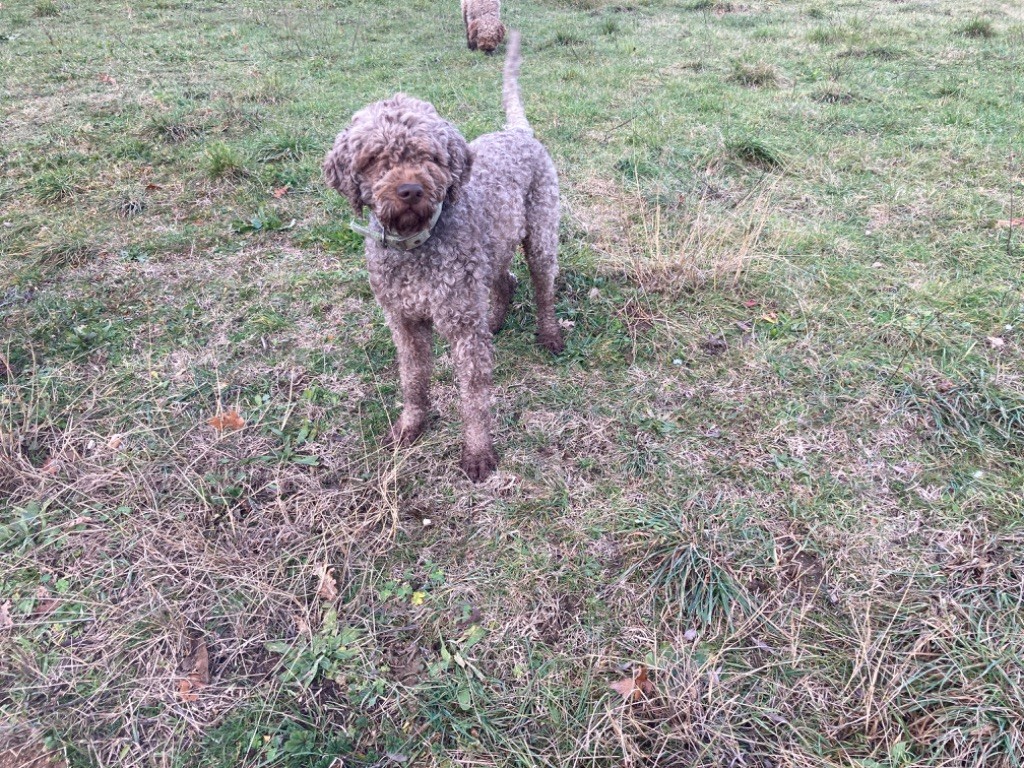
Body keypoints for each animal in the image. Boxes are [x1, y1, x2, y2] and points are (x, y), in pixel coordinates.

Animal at [323, 34, 565, 487]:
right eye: (373, 159)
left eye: (428, 155)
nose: (410, 190)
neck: (414, 246)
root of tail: (517, 132)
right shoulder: (404, 322)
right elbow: (413, 379)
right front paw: (410, 426)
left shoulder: (461, 326)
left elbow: (473, 396)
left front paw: (478, 452)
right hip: (492, 248)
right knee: (505, 281)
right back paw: (496, 320)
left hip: (541, 237)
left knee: (542, 289)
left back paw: (550, 335)